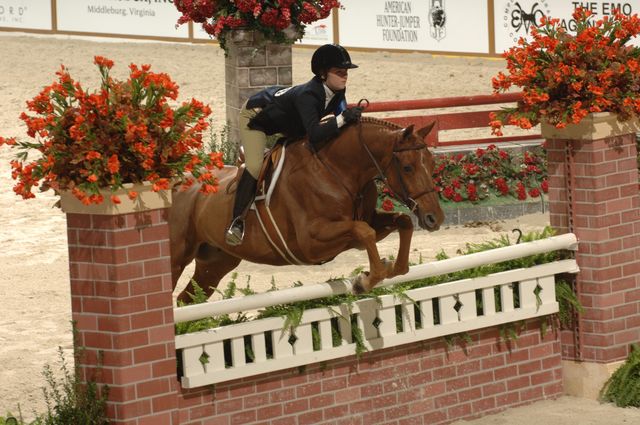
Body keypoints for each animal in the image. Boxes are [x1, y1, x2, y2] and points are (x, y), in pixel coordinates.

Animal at [172, 116, 448, 302]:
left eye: (431, 162)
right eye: (408, 168)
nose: (434, 218)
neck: (337, 171)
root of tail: (178, 182)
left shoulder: (366, 222)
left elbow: (401, 222)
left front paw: (393, 268)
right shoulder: (311, 243)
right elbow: (364, 231)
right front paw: (364, 281)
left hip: (216, 262)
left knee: (188, 298)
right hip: (178, 259)